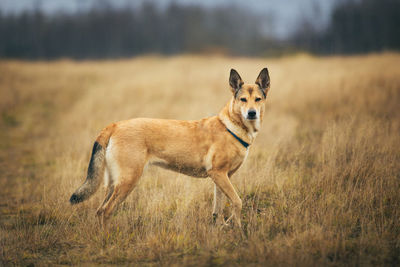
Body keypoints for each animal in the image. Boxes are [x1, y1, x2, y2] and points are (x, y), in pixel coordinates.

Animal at [70, 68, 270, 229]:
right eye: (243, 100)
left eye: (258, 99)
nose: (251, 113)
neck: (232, 127)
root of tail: (115, 125)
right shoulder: (219, 174)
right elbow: (237, 202)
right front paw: (237, 228)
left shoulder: (222, 177)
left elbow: (218, 208)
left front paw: (222, 227)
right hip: (128, 180)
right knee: (106, 210)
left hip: (114, 183)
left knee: (99, 211)